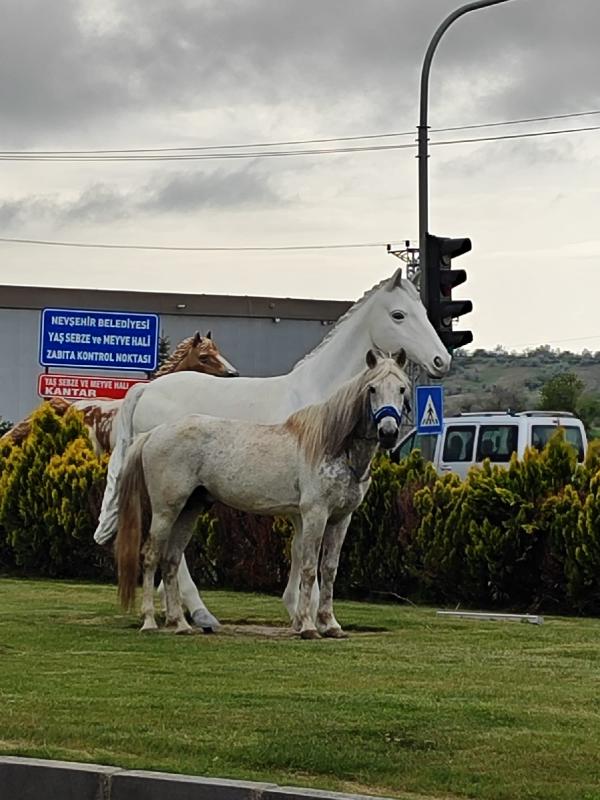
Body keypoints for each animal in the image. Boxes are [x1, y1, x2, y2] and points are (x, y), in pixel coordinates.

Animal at [115, 350, 410, 636]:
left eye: (402, 388)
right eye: (372, 388)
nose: (388, 432)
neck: (332, 445)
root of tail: (154, 434)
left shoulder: (341, 518)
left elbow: (329, 569)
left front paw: (330, 625)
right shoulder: (315, 514)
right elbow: (308, 568)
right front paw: (308, 626)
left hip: (190, 509)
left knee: (171, 560)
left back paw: (180, 624)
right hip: (166, 510)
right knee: (151, 556)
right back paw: (150, 621)